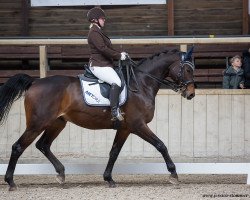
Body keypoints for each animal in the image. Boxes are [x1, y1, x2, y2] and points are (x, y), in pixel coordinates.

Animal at [0, 47, 195, 190]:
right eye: (186, 69)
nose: (191, 94)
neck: (141, 84)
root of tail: (35, 82)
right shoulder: (138, 125)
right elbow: (161, 145)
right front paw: (173, 174)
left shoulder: (125, 128)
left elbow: (114, 152)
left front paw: (108, 178)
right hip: (37, 123)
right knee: (18, 147)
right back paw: (11, 182)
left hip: (57, 123)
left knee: (43, 145)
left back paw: (61, 174)